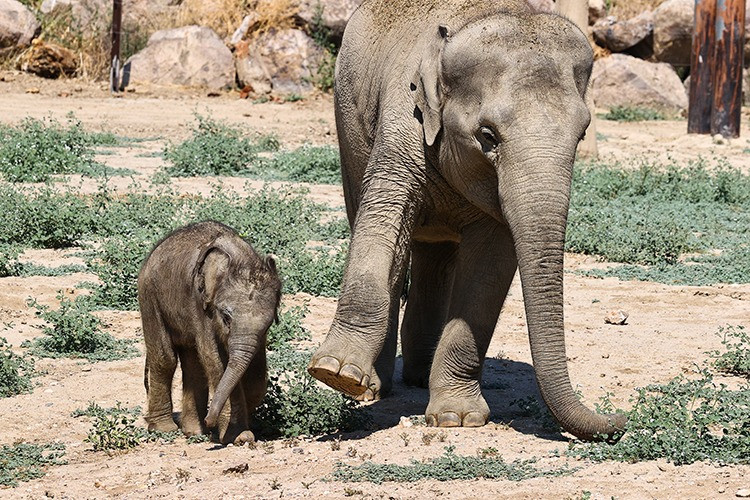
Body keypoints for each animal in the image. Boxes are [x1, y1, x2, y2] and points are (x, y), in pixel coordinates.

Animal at [139, 221, 282, 444]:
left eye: (269, 324)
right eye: (225, 317)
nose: (209, 419)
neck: (239, 259)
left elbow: (256, 374)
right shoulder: (201, 305)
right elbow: (214, 359)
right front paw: (239, 437)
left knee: (193, 363)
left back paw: (194, 431)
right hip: (149, 296)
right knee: (165, 358)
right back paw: (164, 429)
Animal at [308, 0, 624, 442]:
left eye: (582, 135)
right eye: (488, 136)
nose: (619, 420)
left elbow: (490, 267)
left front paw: (457, 419)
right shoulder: (404, 117)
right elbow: (383, 215)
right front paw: (337, 373)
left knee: (435, 252)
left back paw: (420, 377)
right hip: (348, 123)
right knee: (377, 228)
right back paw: (376, 386)